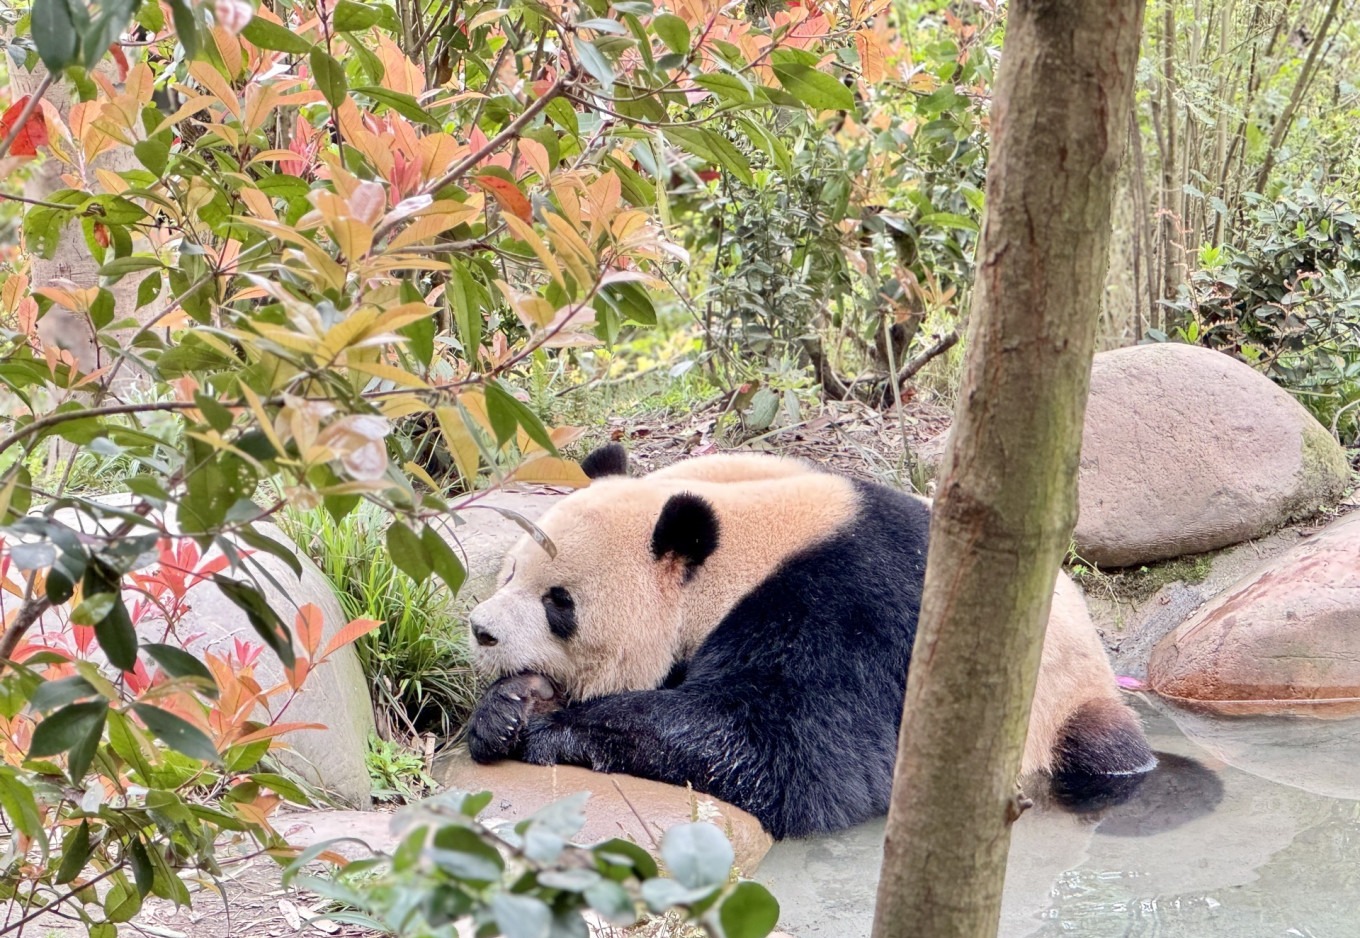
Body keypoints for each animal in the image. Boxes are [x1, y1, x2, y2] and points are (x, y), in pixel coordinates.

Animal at [465, 444, 1156, 839]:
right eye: (510, 572)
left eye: (560, 603)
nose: (481, 630)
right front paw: (508, 709)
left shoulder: (846, 608)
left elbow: (798, 755)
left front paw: (556, 728)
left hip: (1057, 706)